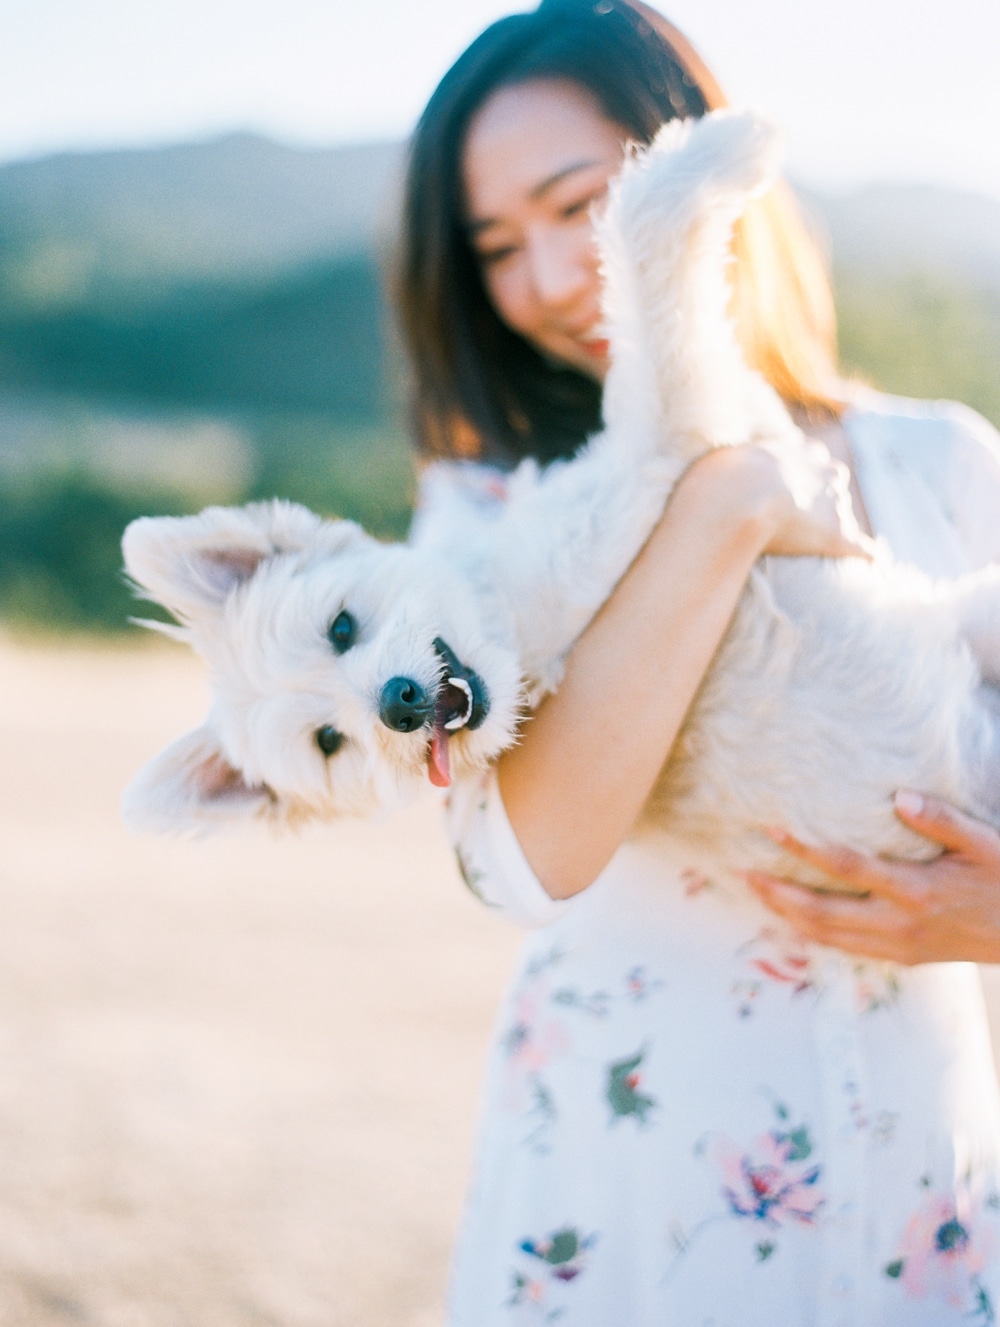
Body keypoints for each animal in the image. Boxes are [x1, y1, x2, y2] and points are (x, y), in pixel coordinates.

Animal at [118, 111, 997, 881]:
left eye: (340, 626)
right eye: (330, 743)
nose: (399, 704)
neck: (512, 632)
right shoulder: (650, 453)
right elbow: (643, 249)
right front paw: (726, 146)